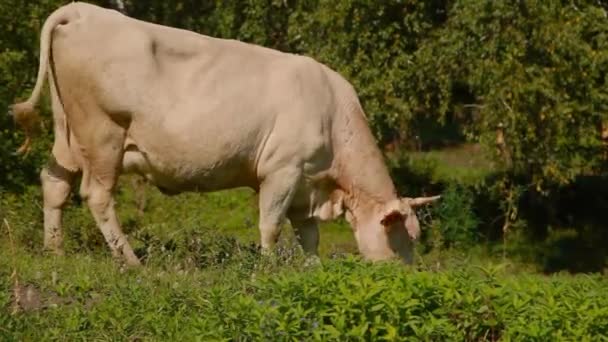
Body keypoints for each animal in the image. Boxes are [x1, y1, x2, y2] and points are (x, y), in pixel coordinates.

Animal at [8, 1, 436, 266]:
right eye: (401, 238)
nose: (406, 277)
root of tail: (82, 10)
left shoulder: (305, 182)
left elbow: (309, 234)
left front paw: (313, 270)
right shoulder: (282, 170)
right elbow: (271, 225)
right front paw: (268, 269)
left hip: (67, 134)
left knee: (55, 183)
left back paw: (55, 252)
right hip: (103, 134)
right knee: (97, 196)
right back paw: (131, 261)